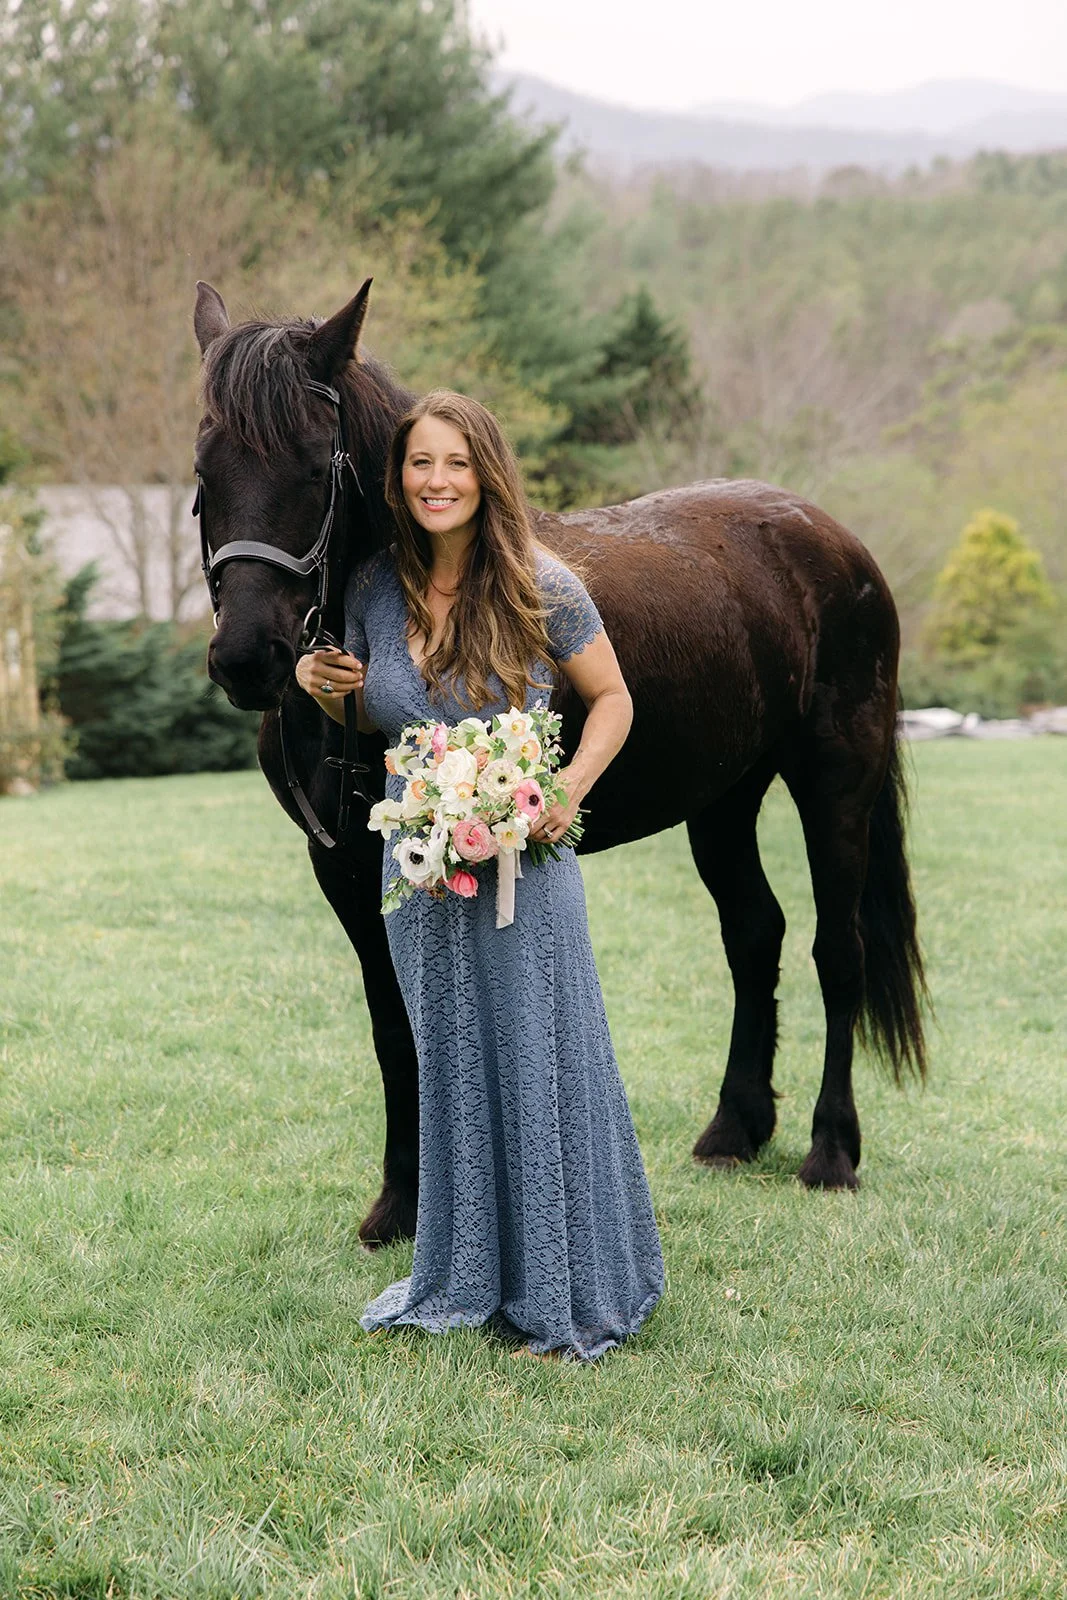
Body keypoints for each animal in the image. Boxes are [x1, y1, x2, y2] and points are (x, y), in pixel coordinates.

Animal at [191, 279, 926, 1247]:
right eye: (205, 474)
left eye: (316, 468)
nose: (249, 658)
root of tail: (833, 540)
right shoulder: (346, 867)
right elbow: (395, 1028)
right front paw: (398, 1206)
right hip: (722, 799)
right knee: (752, 934)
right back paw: (732, 1130)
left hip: (834, 782)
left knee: (834, 950)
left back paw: (830, 1153)